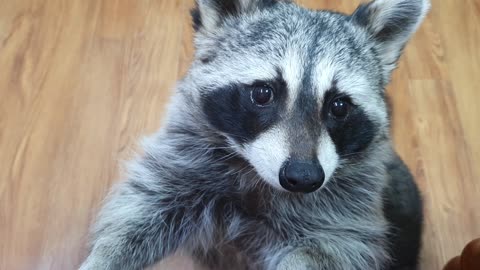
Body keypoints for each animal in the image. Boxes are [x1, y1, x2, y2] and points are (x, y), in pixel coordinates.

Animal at [80, 0, 430, 270]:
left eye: (339, 106)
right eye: (263, 93)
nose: (303, 178)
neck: (255, 175)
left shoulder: (343, 215)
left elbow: (325, 251)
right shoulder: (184, 161)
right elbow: (142, 211)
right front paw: (103, 258)